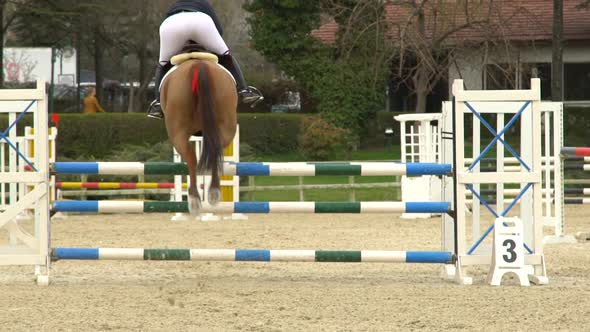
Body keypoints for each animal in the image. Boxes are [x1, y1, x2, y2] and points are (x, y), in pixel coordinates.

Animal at [162, 50, 238, 214]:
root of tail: (198, 65)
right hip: (226, 124)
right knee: (215, 151)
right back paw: (214, 192)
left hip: (177, 132)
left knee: (191, 159)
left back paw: (194, 199)